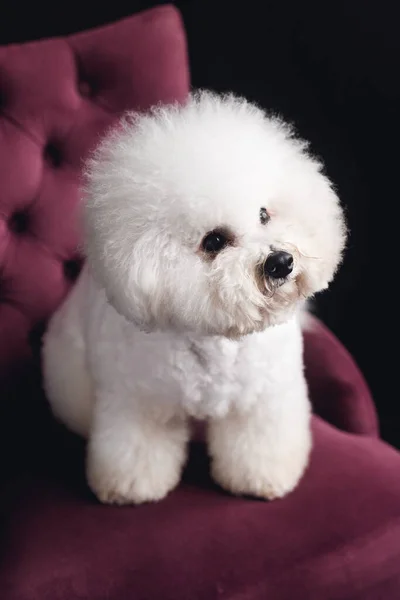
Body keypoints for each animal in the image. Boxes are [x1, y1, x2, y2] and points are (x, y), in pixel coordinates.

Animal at [42, 91, 346, 504]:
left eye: (264, 214)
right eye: (214, 241)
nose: (281, 262)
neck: (217, 339)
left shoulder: (263, 398)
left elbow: (260, 443)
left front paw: (261, 479)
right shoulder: (138, 402)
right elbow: (134, 449)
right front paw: (131, 489)